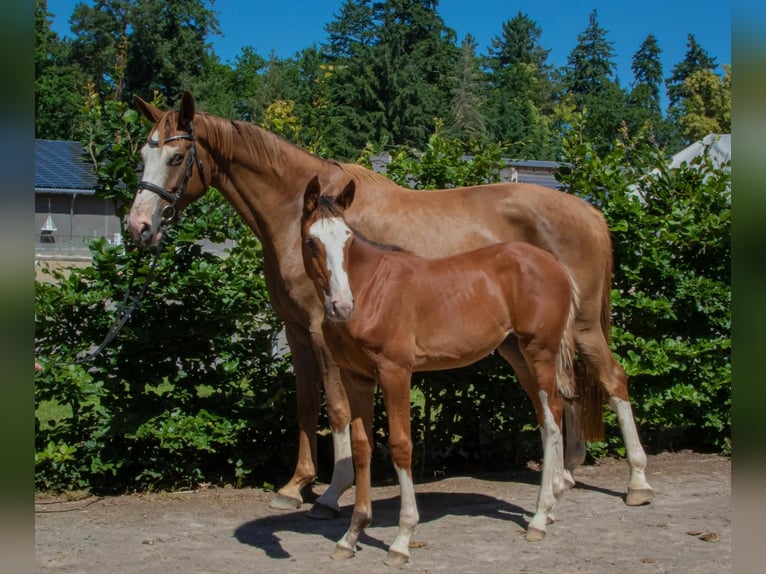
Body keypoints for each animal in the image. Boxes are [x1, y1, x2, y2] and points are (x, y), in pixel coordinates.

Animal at [126, 91, 654, 517]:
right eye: (143, 155)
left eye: (176, 156)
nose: (138, 228)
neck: (299, 213)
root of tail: (588, 212)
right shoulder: (296, 332)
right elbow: (305, 404)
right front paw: (295, 486)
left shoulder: (322, 330)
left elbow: (338, 410)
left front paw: (331, 492)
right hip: (523, 343)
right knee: (556, 393)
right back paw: (562, 478)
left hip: (581, 327)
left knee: (613, 379)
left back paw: (637, 482)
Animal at [300, 176, 578, 563]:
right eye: (312, 240)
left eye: (348, 238)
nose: (342, 306)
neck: (370, 290)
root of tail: (554, 263)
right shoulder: (356, 379)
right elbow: (361, 448)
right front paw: (351, 536)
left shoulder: (396, 373)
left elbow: (401, 446)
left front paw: (402, 539)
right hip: (518, 355)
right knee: (545, 414)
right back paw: (549, 508)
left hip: (540, 352)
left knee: (552, 418)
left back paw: (539, 517)